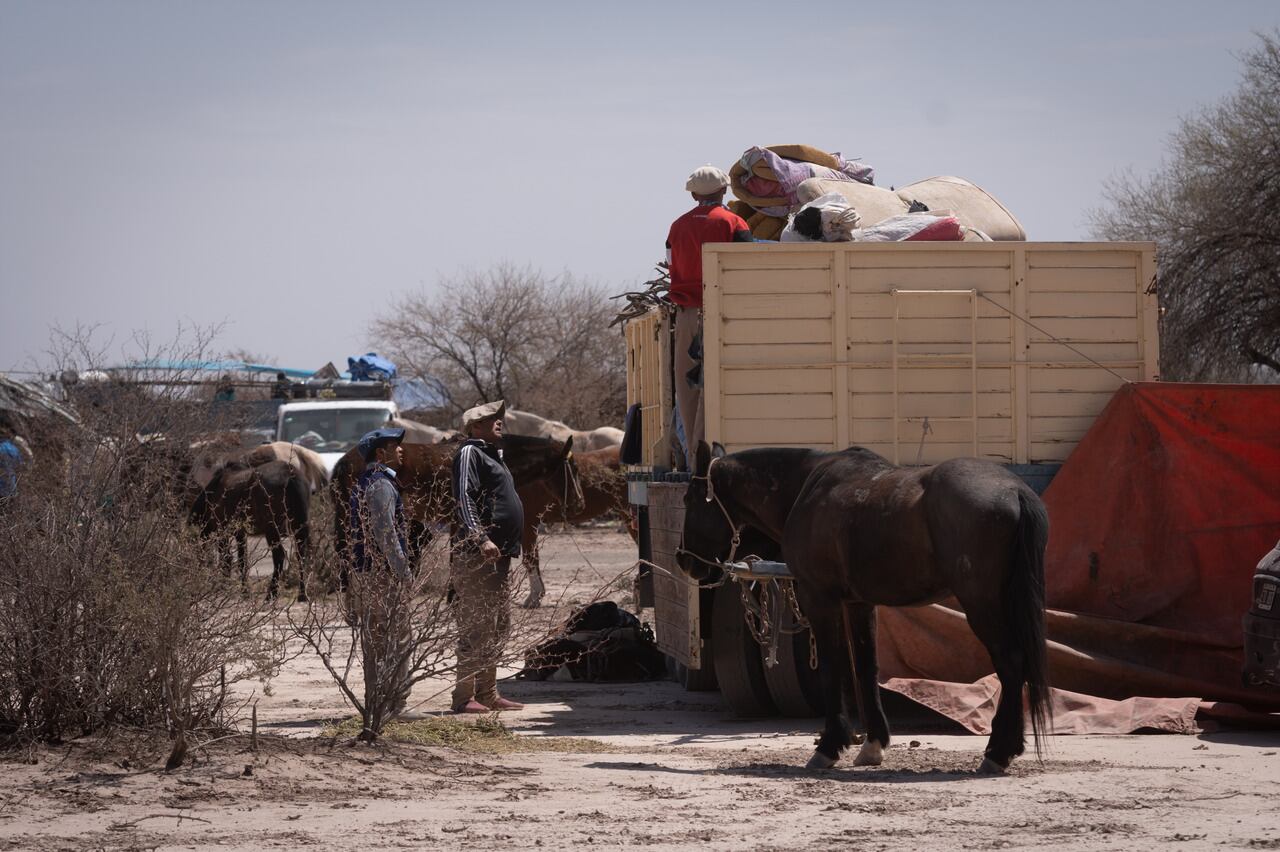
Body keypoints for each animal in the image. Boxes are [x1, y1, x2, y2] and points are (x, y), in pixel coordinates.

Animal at [188, 457, 311, 596]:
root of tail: (289, 474)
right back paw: (302, 595)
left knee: (279, 556)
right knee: (301, 556)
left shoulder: (222, 531)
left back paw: (271, 594)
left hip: (272, 530)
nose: (198, 576)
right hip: (298, 527)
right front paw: (244, 590)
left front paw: (225, 585)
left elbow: (227, 558)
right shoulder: (240, 533)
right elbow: (242, 561)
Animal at [680, 440, 1049, 772]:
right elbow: (865, 667)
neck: (809, 486)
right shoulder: (859, 604)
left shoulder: (819, 598)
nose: (683, 559)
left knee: (1010, 662)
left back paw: (997, 753)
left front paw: (829, 747)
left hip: (982, 605)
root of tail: (1014, 491)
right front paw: (873, 744)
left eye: (689, 499)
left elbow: (833, 667)